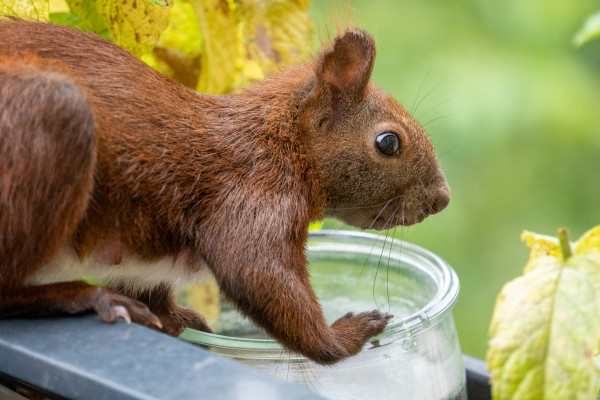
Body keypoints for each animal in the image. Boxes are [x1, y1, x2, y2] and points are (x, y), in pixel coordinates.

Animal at [0, 19, 450, 366]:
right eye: (388, 143)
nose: (441, 199)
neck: (282, 140)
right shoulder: (253, 194)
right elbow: (256, 273)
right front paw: (346, 336)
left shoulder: (141, 264)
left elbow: (154, 292)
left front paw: (176, 320)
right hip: (52, 118)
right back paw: (87, 296)